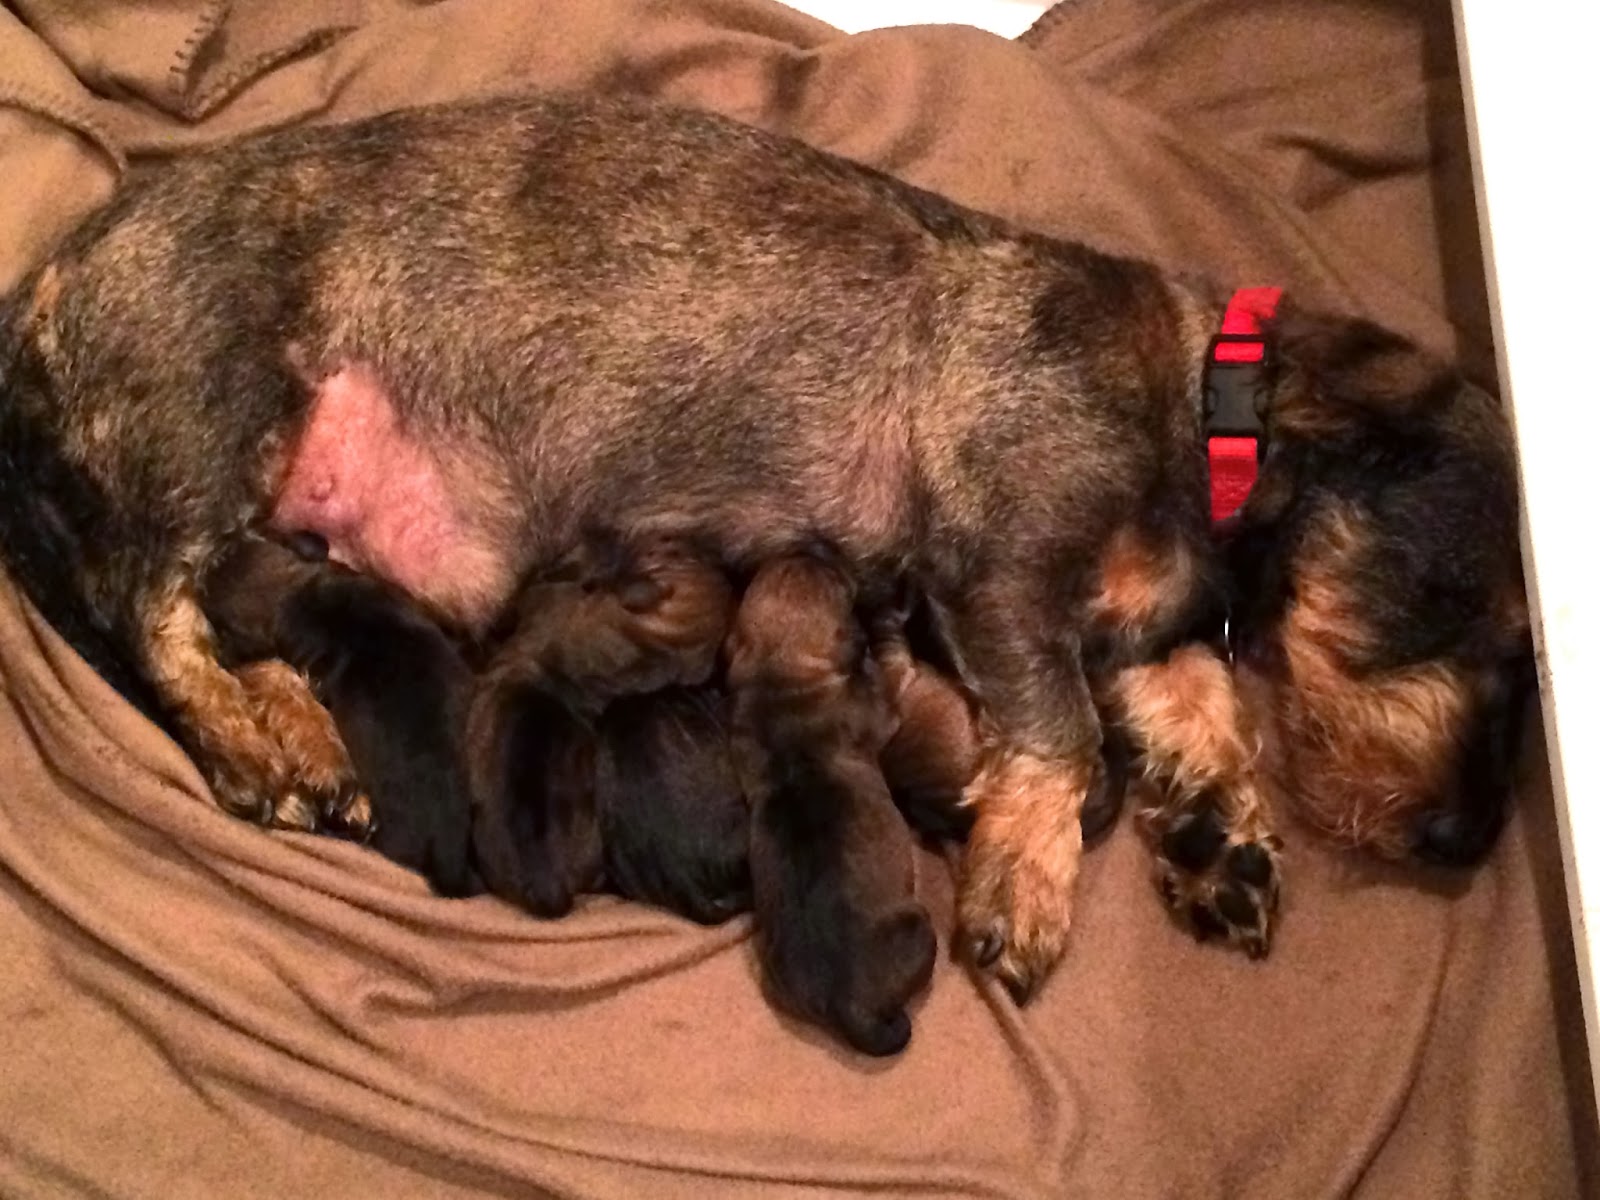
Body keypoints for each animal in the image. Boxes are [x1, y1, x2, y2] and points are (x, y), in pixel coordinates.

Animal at [0, 92, 1531, 1002]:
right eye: (1482, 611)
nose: (1462, 842)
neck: (1195, 406)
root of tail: (47, 283)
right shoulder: (1000, 567)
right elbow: (1065, 733)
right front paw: (1028, 882)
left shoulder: (1143, 626)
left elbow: (1200, 710)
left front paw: (1223, 844)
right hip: (217, 404)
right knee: (150, 611)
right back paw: (258, 738)